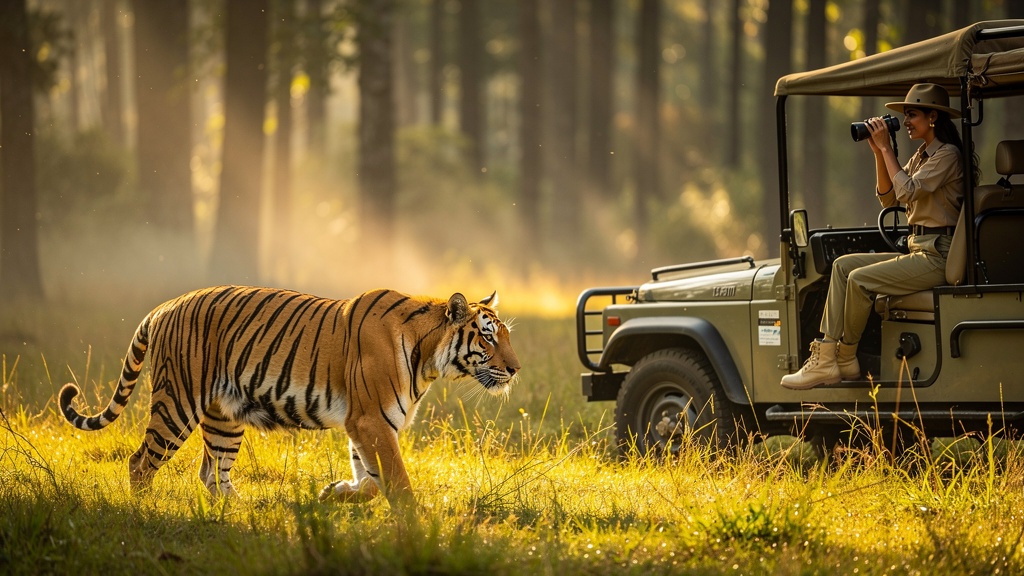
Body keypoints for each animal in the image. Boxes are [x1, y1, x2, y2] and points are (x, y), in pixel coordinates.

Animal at [58, 285, 520, 508]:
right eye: (488, 337)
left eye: (507, 336)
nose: (516, 369)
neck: (430, 360)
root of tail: (165, 305)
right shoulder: (371, 419)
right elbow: (399, 482)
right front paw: (417, 527)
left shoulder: (365, 423)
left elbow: (372, 481)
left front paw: (335, 493)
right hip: (178, 402)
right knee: (141, 462)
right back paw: (144, 510)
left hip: (224, 417)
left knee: (212, 473)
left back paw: (242, 511)